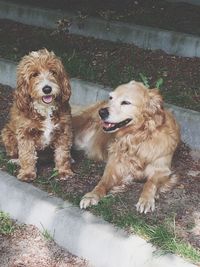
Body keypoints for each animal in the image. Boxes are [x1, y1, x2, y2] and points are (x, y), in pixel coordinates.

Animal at [1, 48, 73, 182]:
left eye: (53, 72)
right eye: (34, 74)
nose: (47, 89)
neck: (45, 108)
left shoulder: (64, 130)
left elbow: (62, 153)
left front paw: (63, 171)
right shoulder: (25, 133)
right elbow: (27, 154)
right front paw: (27, 173)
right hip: (6, 133)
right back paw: (15, 161)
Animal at [72, 81, 180, 214]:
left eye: (126, 102)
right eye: (111, 98)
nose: (102, 112)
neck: (137, 138)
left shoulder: (162, 170)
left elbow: (150, 183)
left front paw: (146, 200)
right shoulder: (114, 166)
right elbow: (102, 182)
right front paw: (92, 195)